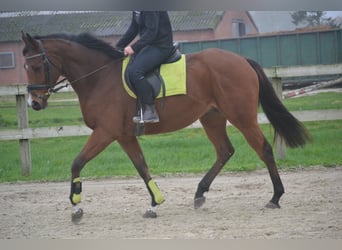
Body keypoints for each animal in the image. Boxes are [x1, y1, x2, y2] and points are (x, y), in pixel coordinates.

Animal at [20, 31, 310, 221]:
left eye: (35, 66)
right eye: (25, 65)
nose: (34, 103)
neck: (100, 78)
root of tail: (241, 60)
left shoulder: (105, 133)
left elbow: (77, 162)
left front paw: (76, 206)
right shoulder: (124, 136)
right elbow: (142, 167)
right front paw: (155, 203)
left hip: (242, 117)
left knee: (264, 149)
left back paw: (275, 197)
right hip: (212, 117)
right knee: (225, 151)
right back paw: (200, 194)